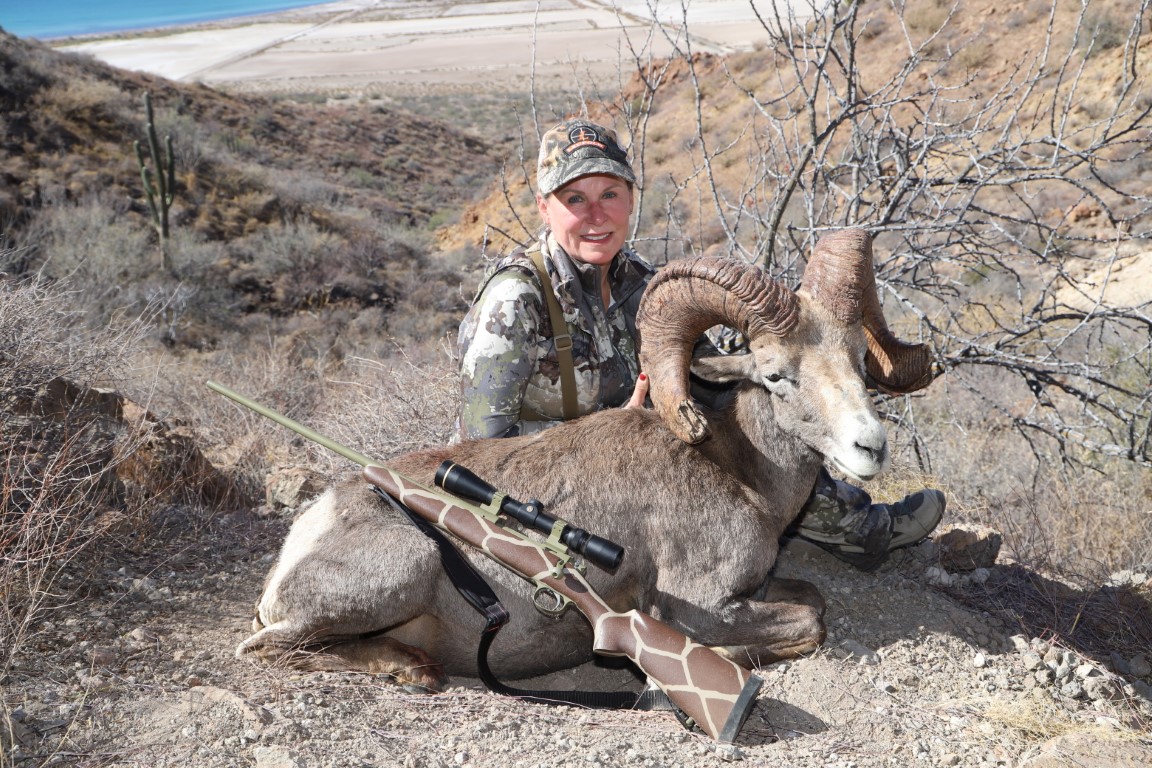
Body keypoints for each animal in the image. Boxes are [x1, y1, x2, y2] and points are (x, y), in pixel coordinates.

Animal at [238, 227, 930, 690]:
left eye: (859, 360)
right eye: (777, 374)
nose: (870, 447)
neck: (739, 473)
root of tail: (307, 531)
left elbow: (812, 596)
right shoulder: (705, 606)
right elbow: (810, 621)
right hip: (404, 565)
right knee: (267, 647)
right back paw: (412, 670)